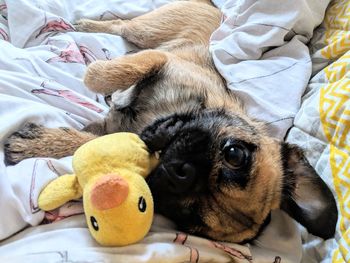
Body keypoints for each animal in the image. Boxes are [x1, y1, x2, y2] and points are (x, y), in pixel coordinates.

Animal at [2, 0, 336, 244]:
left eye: (192, 218)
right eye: (235, 154)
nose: (182, 173)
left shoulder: (112, 131)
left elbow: (88, 141)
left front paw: (42, 144)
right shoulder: (162, 61)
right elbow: (101, 74)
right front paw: (111, 88)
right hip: (148, 29)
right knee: (121, 27)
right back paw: (86, 25)